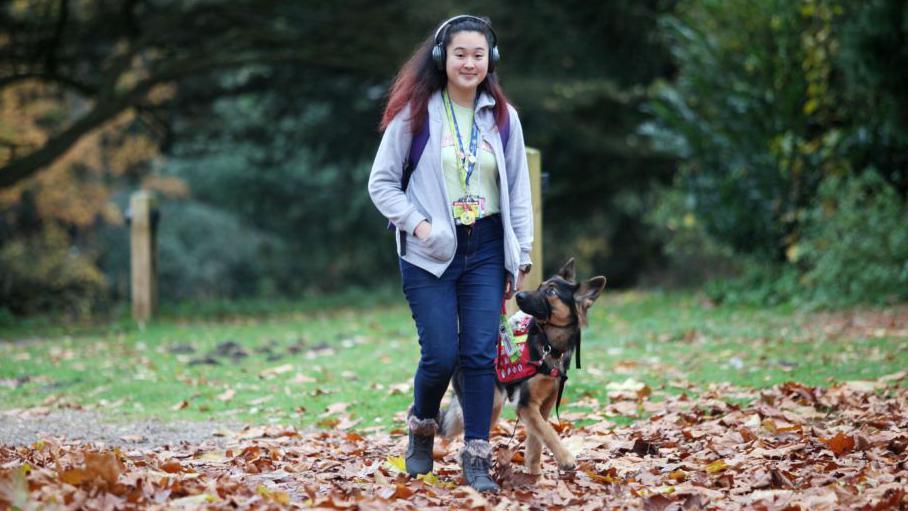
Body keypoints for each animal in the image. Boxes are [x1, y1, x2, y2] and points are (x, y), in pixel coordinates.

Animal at [438, 260, 608, 476]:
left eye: (551, 291)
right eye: (540, 286)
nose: (518, 295)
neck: (548, 345)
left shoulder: (543, 406)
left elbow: (537, 441)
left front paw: (535, 475)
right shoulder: (526, 405)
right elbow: (549, 432)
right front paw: (565, 459)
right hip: (491, 402)